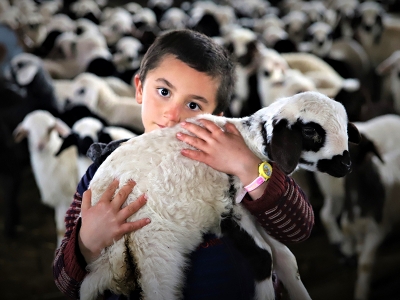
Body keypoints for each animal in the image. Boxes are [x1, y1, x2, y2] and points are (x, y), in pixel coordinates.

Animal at [12, 109, 79, 247]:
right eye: (28, 131)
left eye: (50, 128)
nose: (40, 145)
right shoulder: (59, 198)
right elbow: (60, 229)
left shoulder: (66, 197)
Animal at [79, 91, 360, 300]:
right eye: (311, 132)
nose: (346, 165)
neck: (248, 141)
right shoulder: (231, 211)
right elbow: (263, 258)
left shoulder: (251, 210)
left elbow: (285, 258)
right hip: (154, 247)